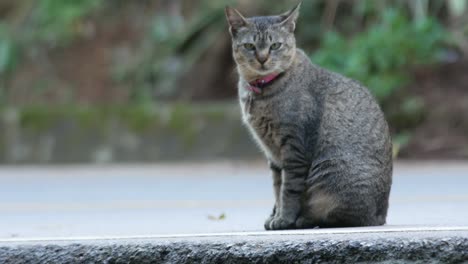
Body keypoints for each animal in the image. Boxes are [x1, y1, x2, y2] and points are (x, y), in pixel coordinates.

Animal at [225, 2, 394, 230]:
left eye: (275, 45)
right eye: (250, 46)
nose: (262, 59)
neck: (262, 90)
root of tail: (381, 215)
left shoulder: (295, 147)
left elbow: (288, 190)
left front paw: (284, 219)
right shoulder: (273, 154)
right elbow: (277, 187)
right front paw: (275, 216)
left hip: (330, 172)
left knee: (342, 217)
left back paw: (305, 220)